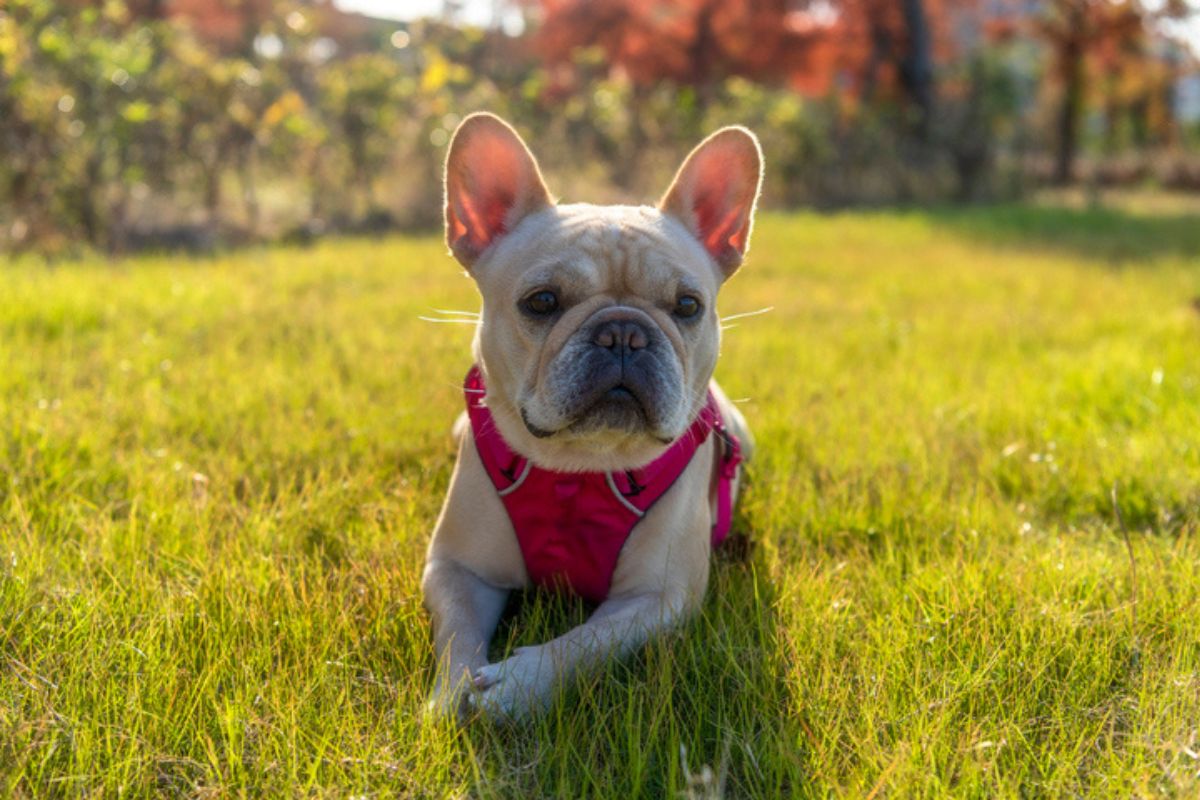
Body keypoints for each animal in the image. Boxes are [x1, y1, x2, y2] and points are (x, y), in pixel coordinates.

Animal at [422, 110, 758, 719]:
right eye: (541, 302)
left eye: (688, 306)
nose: (623, 332)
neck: (577, 471)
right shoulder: (455, 568)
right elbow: (457, 632)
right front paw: (453, 692)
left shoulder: (656, 599)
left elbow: (584, 642)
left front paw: (518, 684)